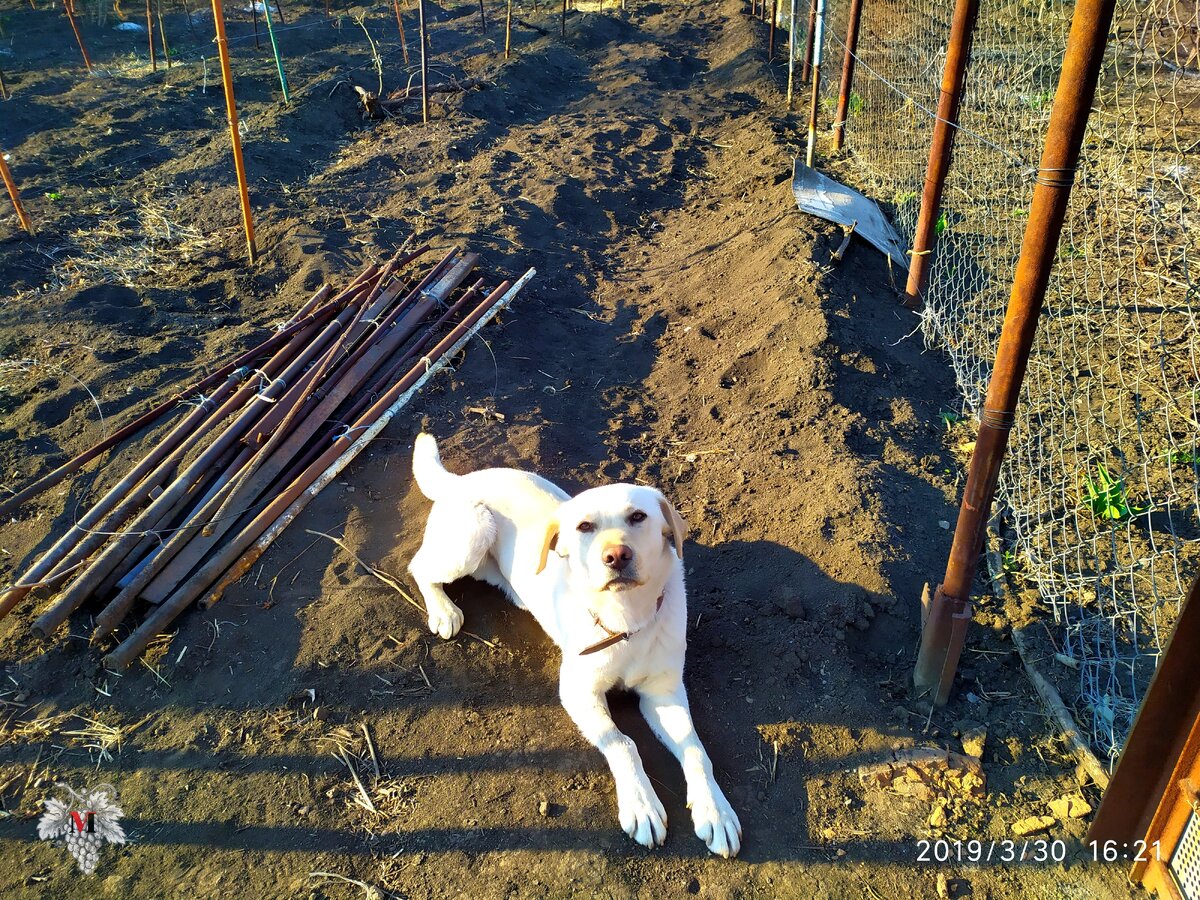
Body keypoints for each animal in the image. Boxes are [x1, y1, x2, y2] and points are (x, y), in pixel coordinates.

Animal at [408, 436, 739, 859]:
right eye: (584, 526)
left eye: (638, 517)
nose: (616, 556)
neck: (625, 620)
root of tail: (461, 480)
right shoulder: (578, 691)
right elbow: (623, 742)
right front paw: (641, 804)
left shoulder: (663, 692)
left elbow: (696, 750)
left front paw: (715, 810)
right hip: (470, 535)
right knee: (419, 567)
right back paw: (443, 609)